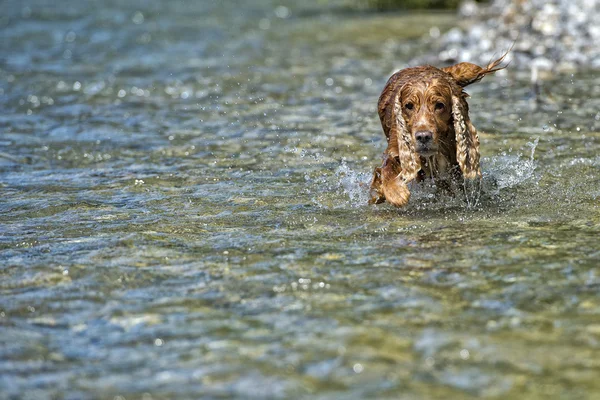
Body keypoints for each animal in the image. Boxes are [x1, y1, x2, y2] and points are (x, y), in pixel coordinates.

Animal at [370, 54, 506, 208]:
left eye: (439, 105)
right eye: (409, 106)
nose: (423, 136)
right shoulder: (396, 145)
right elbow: (387, 167)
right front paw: (396, 193)